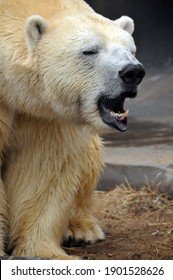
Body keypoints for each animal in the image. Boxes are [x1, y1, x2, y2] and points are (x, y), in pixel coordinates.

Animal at [0, 0, 145, 260]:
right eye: (89, 51)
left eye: (132, 49)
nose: (132, 71)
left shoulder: (46, 115)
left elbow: (43, 166)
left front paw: (44, 252)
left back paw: (80, 229)